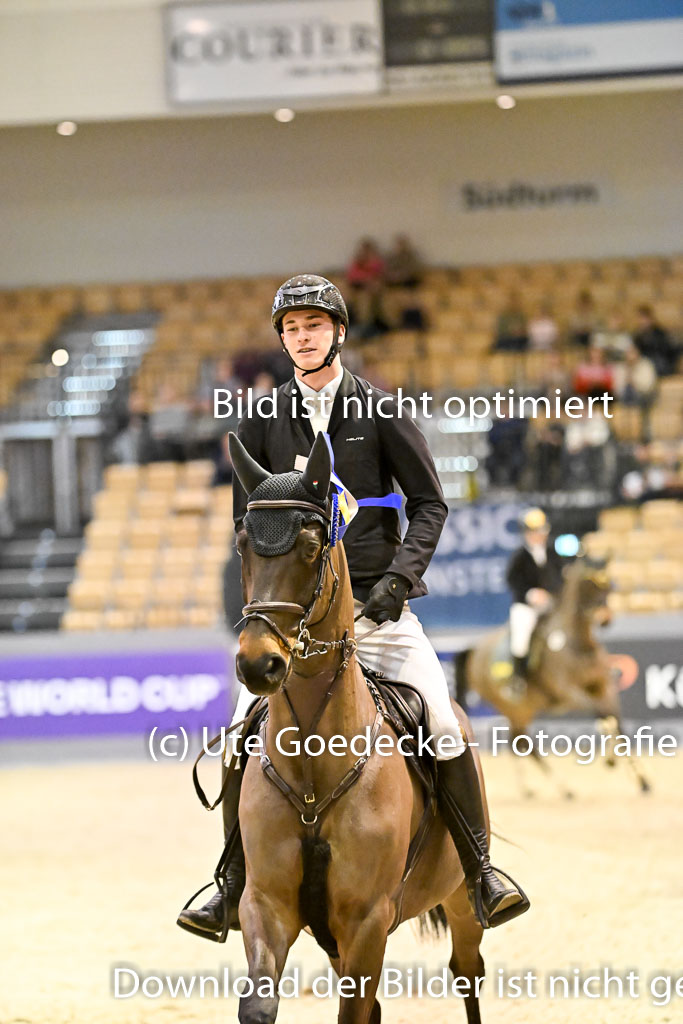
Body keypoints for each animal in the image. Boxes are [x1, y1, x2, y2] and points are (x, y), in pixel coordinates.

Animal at [455, 556, 650, 796]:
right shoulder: (569, 693)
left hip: (523, 710)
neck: (579, 644)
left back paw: (535, 788)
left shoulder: (605, 688)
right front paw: (610, 760)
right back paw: (561, 788)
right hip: (513, 708)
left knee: (518, 742)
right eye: (589, 582)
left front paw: (643, 782)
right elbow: (602, 715)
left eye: (609, 584)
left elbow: (617, 724)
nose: (605, 618)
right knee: (521, 743)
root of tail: (475, 650)